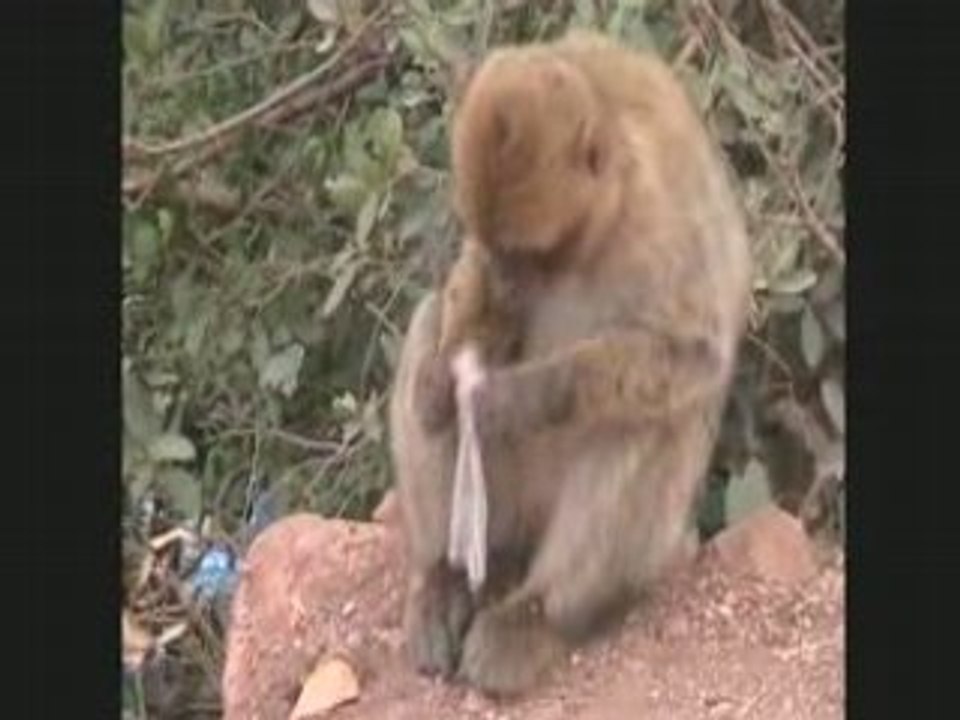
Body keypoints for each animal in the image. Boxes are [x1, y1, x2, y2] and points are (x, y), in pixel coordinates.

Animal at [389, 29, 753, 696]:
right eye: (501, 249)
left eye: (529, 253)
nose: (509, 279)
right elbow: (461, 294)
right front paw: (443, 381)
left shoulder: (662, 210)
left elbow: (690, 355)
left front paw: (516, 400)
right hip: (503, 512)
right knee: (427, 323)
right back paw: (442, 584)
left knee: (645, 421)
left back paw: (538, 615)